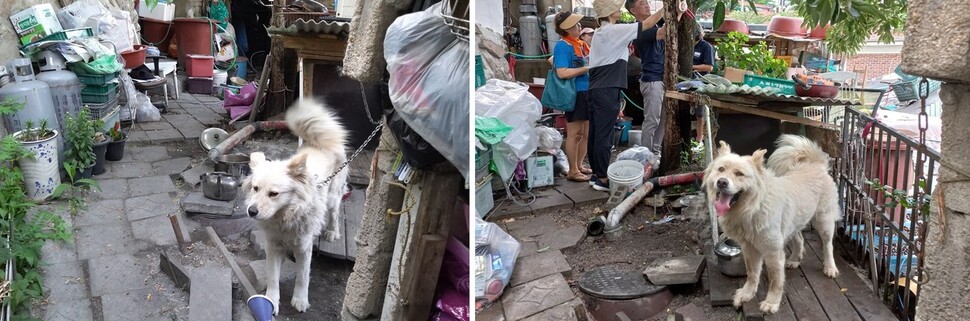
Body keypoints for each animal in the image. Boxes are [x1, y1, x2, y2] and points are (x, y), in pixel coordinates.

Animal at [242, 98, 348, 312]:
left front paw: (300, 300)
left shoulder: (304, 248)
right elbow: (273, 278)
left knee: (334, 213)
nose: (252, 211)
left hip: (333, 197)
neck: (285, 217)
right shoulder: (273, 245)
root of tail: (320, 143)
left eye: (274, 194)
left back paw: (332, 231)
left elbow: (302, 277)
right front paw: (271, 301)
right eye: (255, 188)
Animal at [704, 134, 840, 312]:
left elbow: (776, 280)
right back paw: (795, 260)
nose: (721, 182)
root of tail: (816, 163)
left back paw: (830, 268)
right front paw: (747, 294)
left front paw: (771, 303)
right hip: (793, 223)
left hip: (823, 222)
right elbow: (752, 274)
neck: (752, 208)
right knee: (800, 239)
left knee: (828, 245)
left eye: (739, 174)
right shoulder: (749, 248)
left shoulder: (773, 252)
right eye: (720, 169)